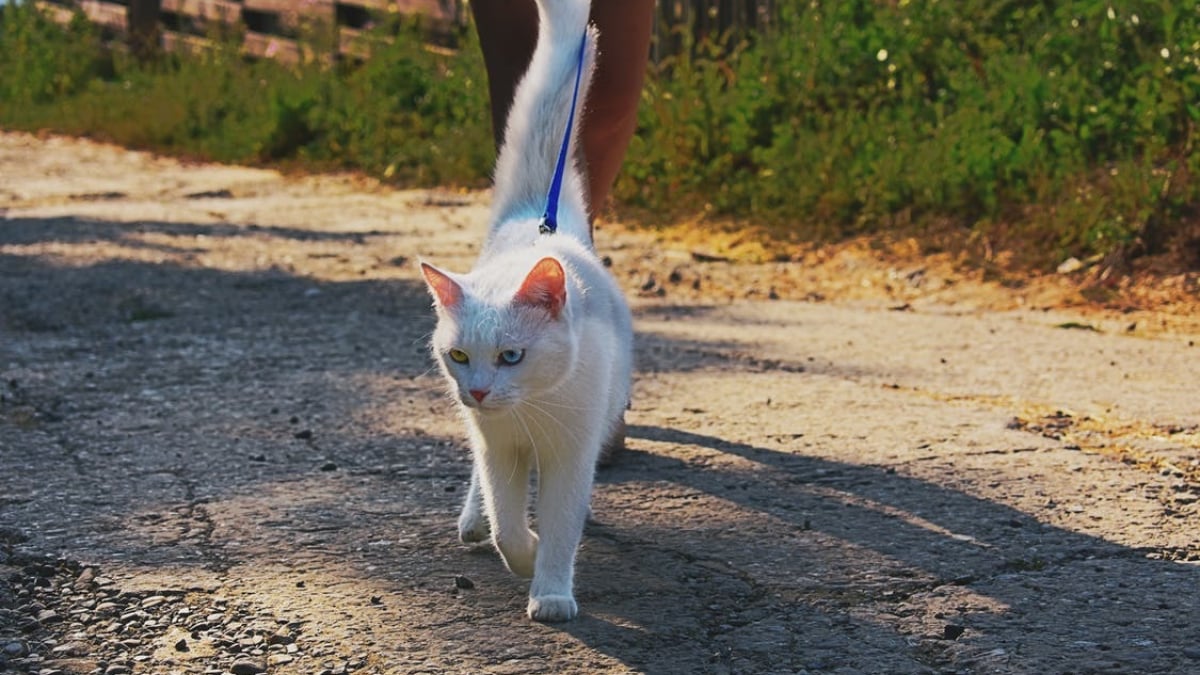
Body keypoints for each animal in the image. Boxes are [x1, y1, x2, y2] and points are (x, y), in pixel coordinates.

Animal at [417, 0, 633, 619]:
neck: (530, 410)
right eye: (459, 355)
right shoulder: (500, 450)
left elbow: (562, 525)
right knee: (480, 487)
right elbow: (507, 522)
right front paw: (525, 554)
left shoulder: (571, 456)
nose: (479, 390)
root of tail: (538, 217)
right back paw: (471, 518)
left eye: (512, 356)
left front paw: (552, 591)